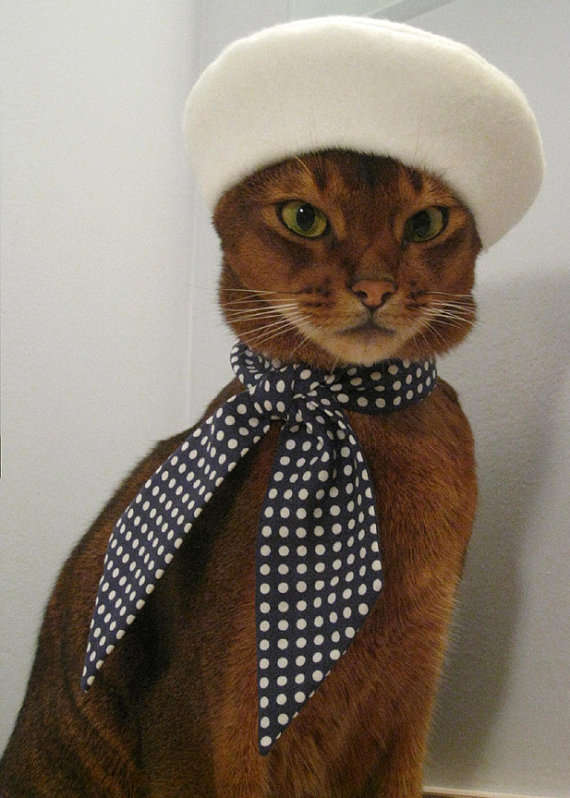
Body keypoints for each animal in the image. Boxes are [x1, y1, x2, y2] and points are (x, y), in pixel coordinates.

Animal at [0, 152, 480, 798]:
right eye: (303, 217)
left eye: (426, 223)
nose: (375, 288)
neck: (355, 418)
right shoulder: (210, 726)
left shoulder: (411, 697)